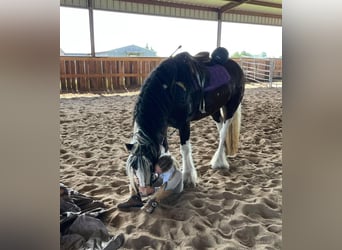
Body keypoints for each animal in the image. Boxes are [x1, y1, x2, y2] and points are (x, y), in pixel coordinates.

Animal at [124, 47, 244, 195]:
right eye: (135, 168)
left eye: (150, 164)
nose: (144, 191)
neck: (170, 89)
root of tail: (236, 66)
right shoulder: (164, 126)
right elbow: (165, 149)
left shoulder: (184, 124)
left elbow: (185, 149)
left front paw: (187, 177)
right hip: (214, 110)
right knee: (220, 127)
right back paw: (222, 155)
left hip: (232, 107)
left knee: (223, 133)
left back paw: (218, 162)